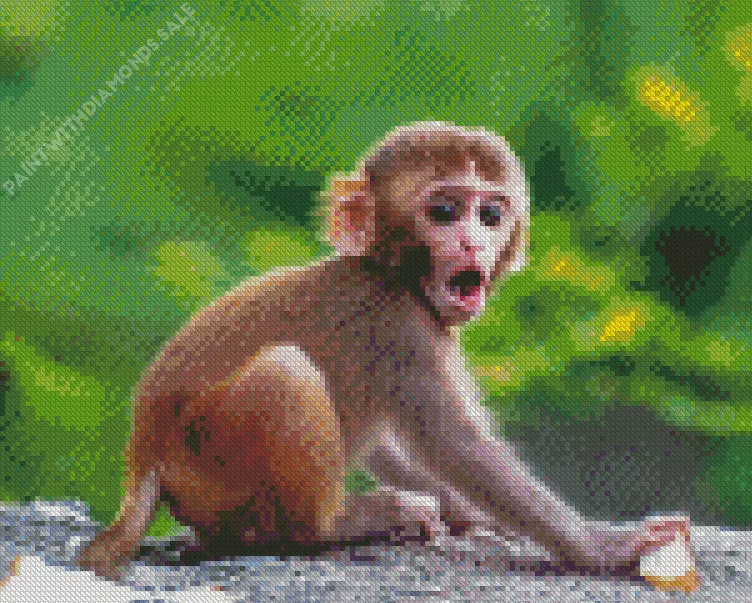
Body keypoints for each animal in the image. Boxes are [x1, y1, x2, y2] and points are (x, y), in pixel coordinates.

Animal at [76, 121, 692, 583]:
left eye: (491, 215)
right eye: (444, 211)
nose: (472, 242)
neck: (390, 271)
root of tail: (144, 459)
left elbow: (395, 445)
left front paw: (465, 512)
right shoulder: (401, 327)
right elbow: (456, 444)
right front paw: (604, 547)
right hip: (210, 462)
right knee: (286, 370)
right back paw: (335, 526)